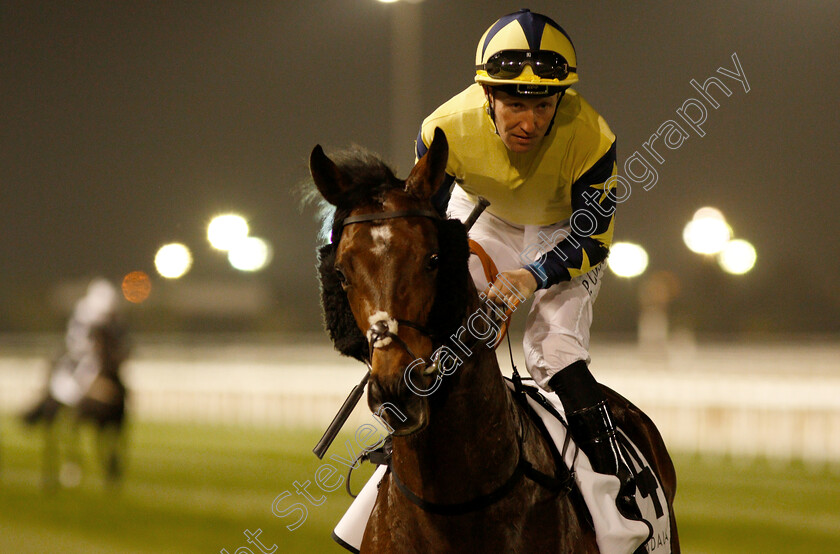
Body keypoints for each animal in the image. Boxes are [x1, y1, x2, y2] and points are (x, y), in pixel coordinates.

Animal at [312, 127, 680, 548]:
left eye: (434, 259)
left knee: (558, 353)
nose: (396, 389)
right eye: (341, 272)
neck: (456, 505)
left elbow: (589, 230)